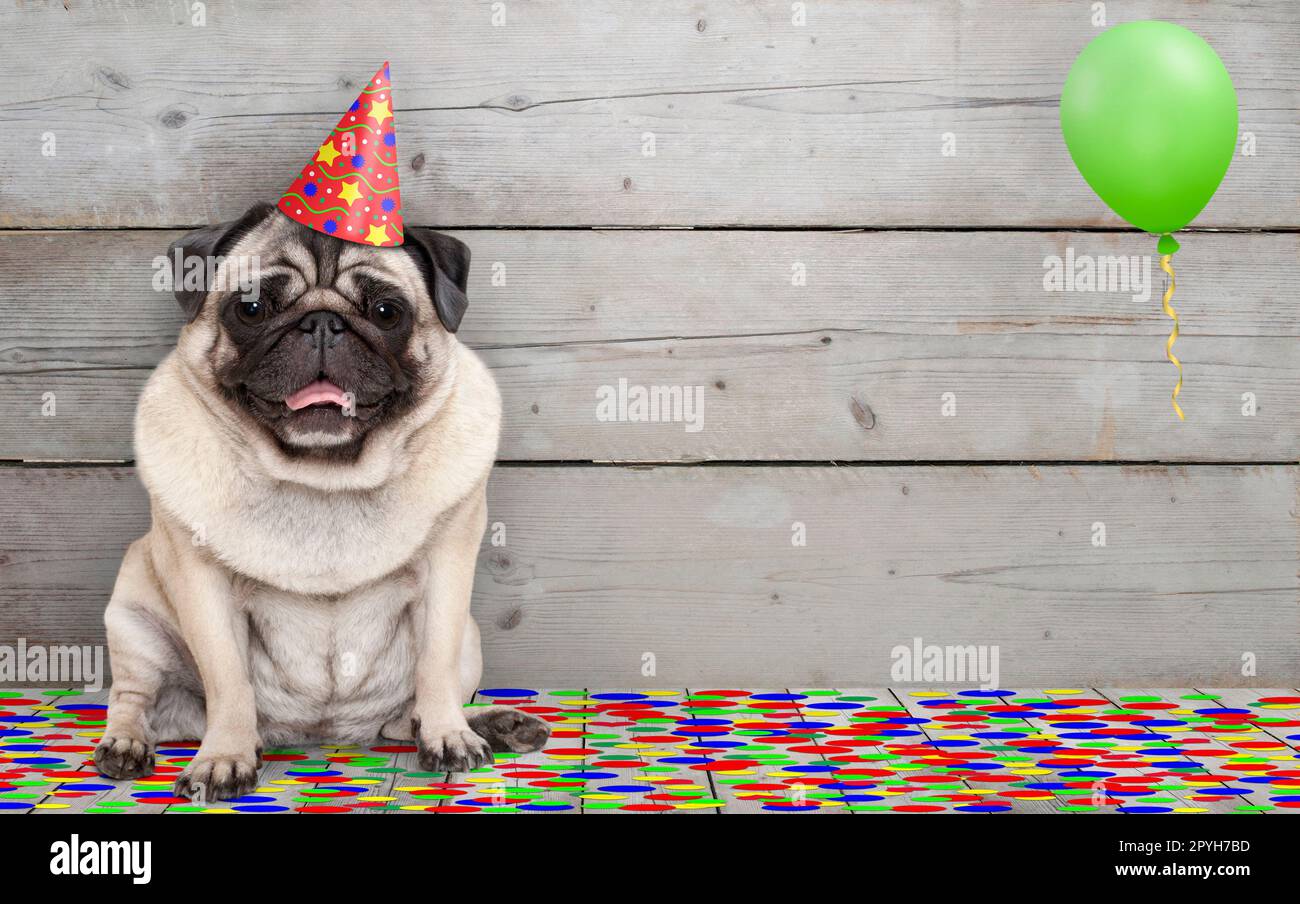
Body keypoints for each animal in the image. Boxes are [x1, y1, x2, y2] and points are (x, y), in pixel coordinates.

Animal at [94, 202, 551, 801]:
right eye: (252, 308)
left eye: (386, 312)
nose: (321, 324)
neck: (323, 476)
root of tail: (322, 731)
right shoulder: (200, 582)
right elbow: (228, 678)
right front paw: (223, 758)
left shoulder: (449, 570)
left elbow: (435, 663)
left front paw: (450, 736)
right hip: (134, 622)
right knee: (135, 701)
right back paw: (125, 745)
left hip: (470, 643)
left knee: (405, 718)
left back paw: (493, 724)